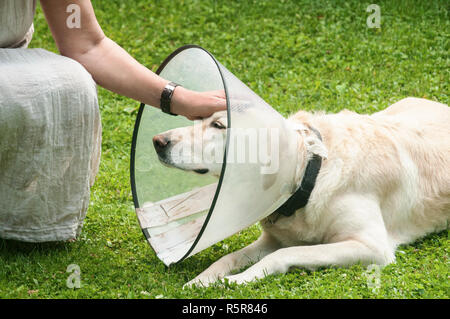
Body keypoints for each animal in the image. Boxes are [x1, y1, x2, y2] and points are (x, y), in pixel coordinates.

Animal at [153, 97, 448, 288]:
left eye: (218, 125)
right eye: (198, 119)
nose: (157, 141)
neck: (311, 174)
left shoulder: (371, 246)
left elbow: (285, 254)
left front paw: (240, 279)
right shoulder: (272, 239)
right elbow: (230, 256)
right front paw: (202, 280)